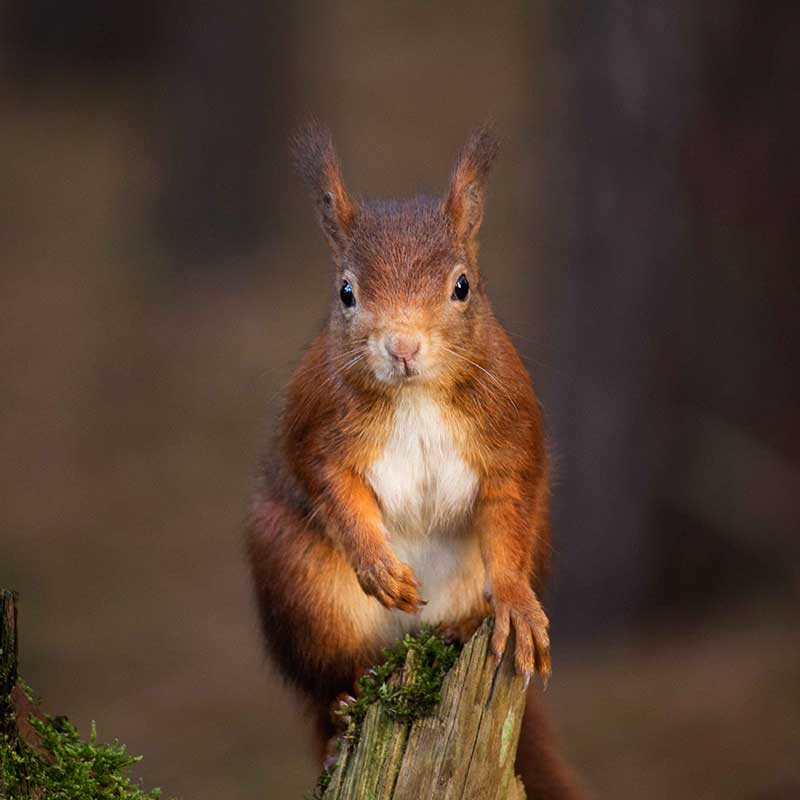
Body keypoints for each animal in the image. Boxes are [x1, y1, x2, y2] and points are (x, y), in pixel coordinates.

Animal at [247, 122, 584, 796]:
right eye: (345, 292)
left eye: (462, 286)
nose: (402, 345)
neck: (416, 395)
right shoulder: (319, 431)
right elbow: (332, 488)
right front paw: (379, 566)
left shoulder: (509, 439)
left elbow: (507, 515)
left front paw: (515, 602)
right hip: (300, 581)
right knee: (331, 684)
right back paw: (341, 719)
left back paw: (463, 628)